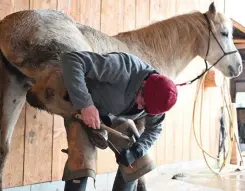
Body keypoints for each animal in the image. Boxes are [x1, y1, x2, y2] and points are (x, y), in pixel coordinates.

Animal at [0, 1, 242, 191]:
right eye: (224, 33)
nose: (238, 66)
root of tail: (12, 28)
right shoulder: (142, 120)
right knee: (44, 96)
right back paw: (104, 127)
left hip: (14, 87)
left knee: (5, 146)